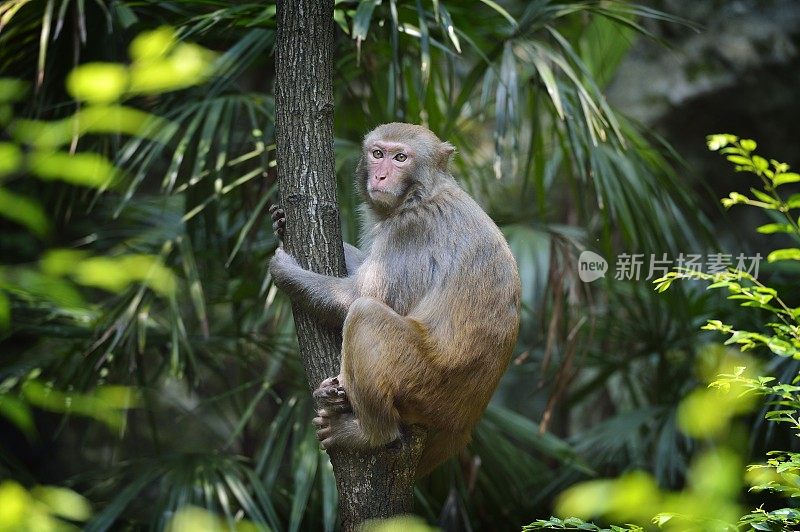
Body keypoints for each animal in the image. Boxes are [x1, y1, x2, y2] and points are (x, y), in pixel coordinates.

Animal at [268, 122, 520, 476]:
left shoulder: (409, 230)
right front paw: (280, 223)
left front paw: (284, 271)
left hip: (422, 384)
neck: (422, 194)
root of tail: (463, 422)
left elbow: (359, 296)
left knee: (365, 314)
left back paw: (369, 433)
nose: (381, 176)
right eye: (378, 153)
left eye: (400, 158)